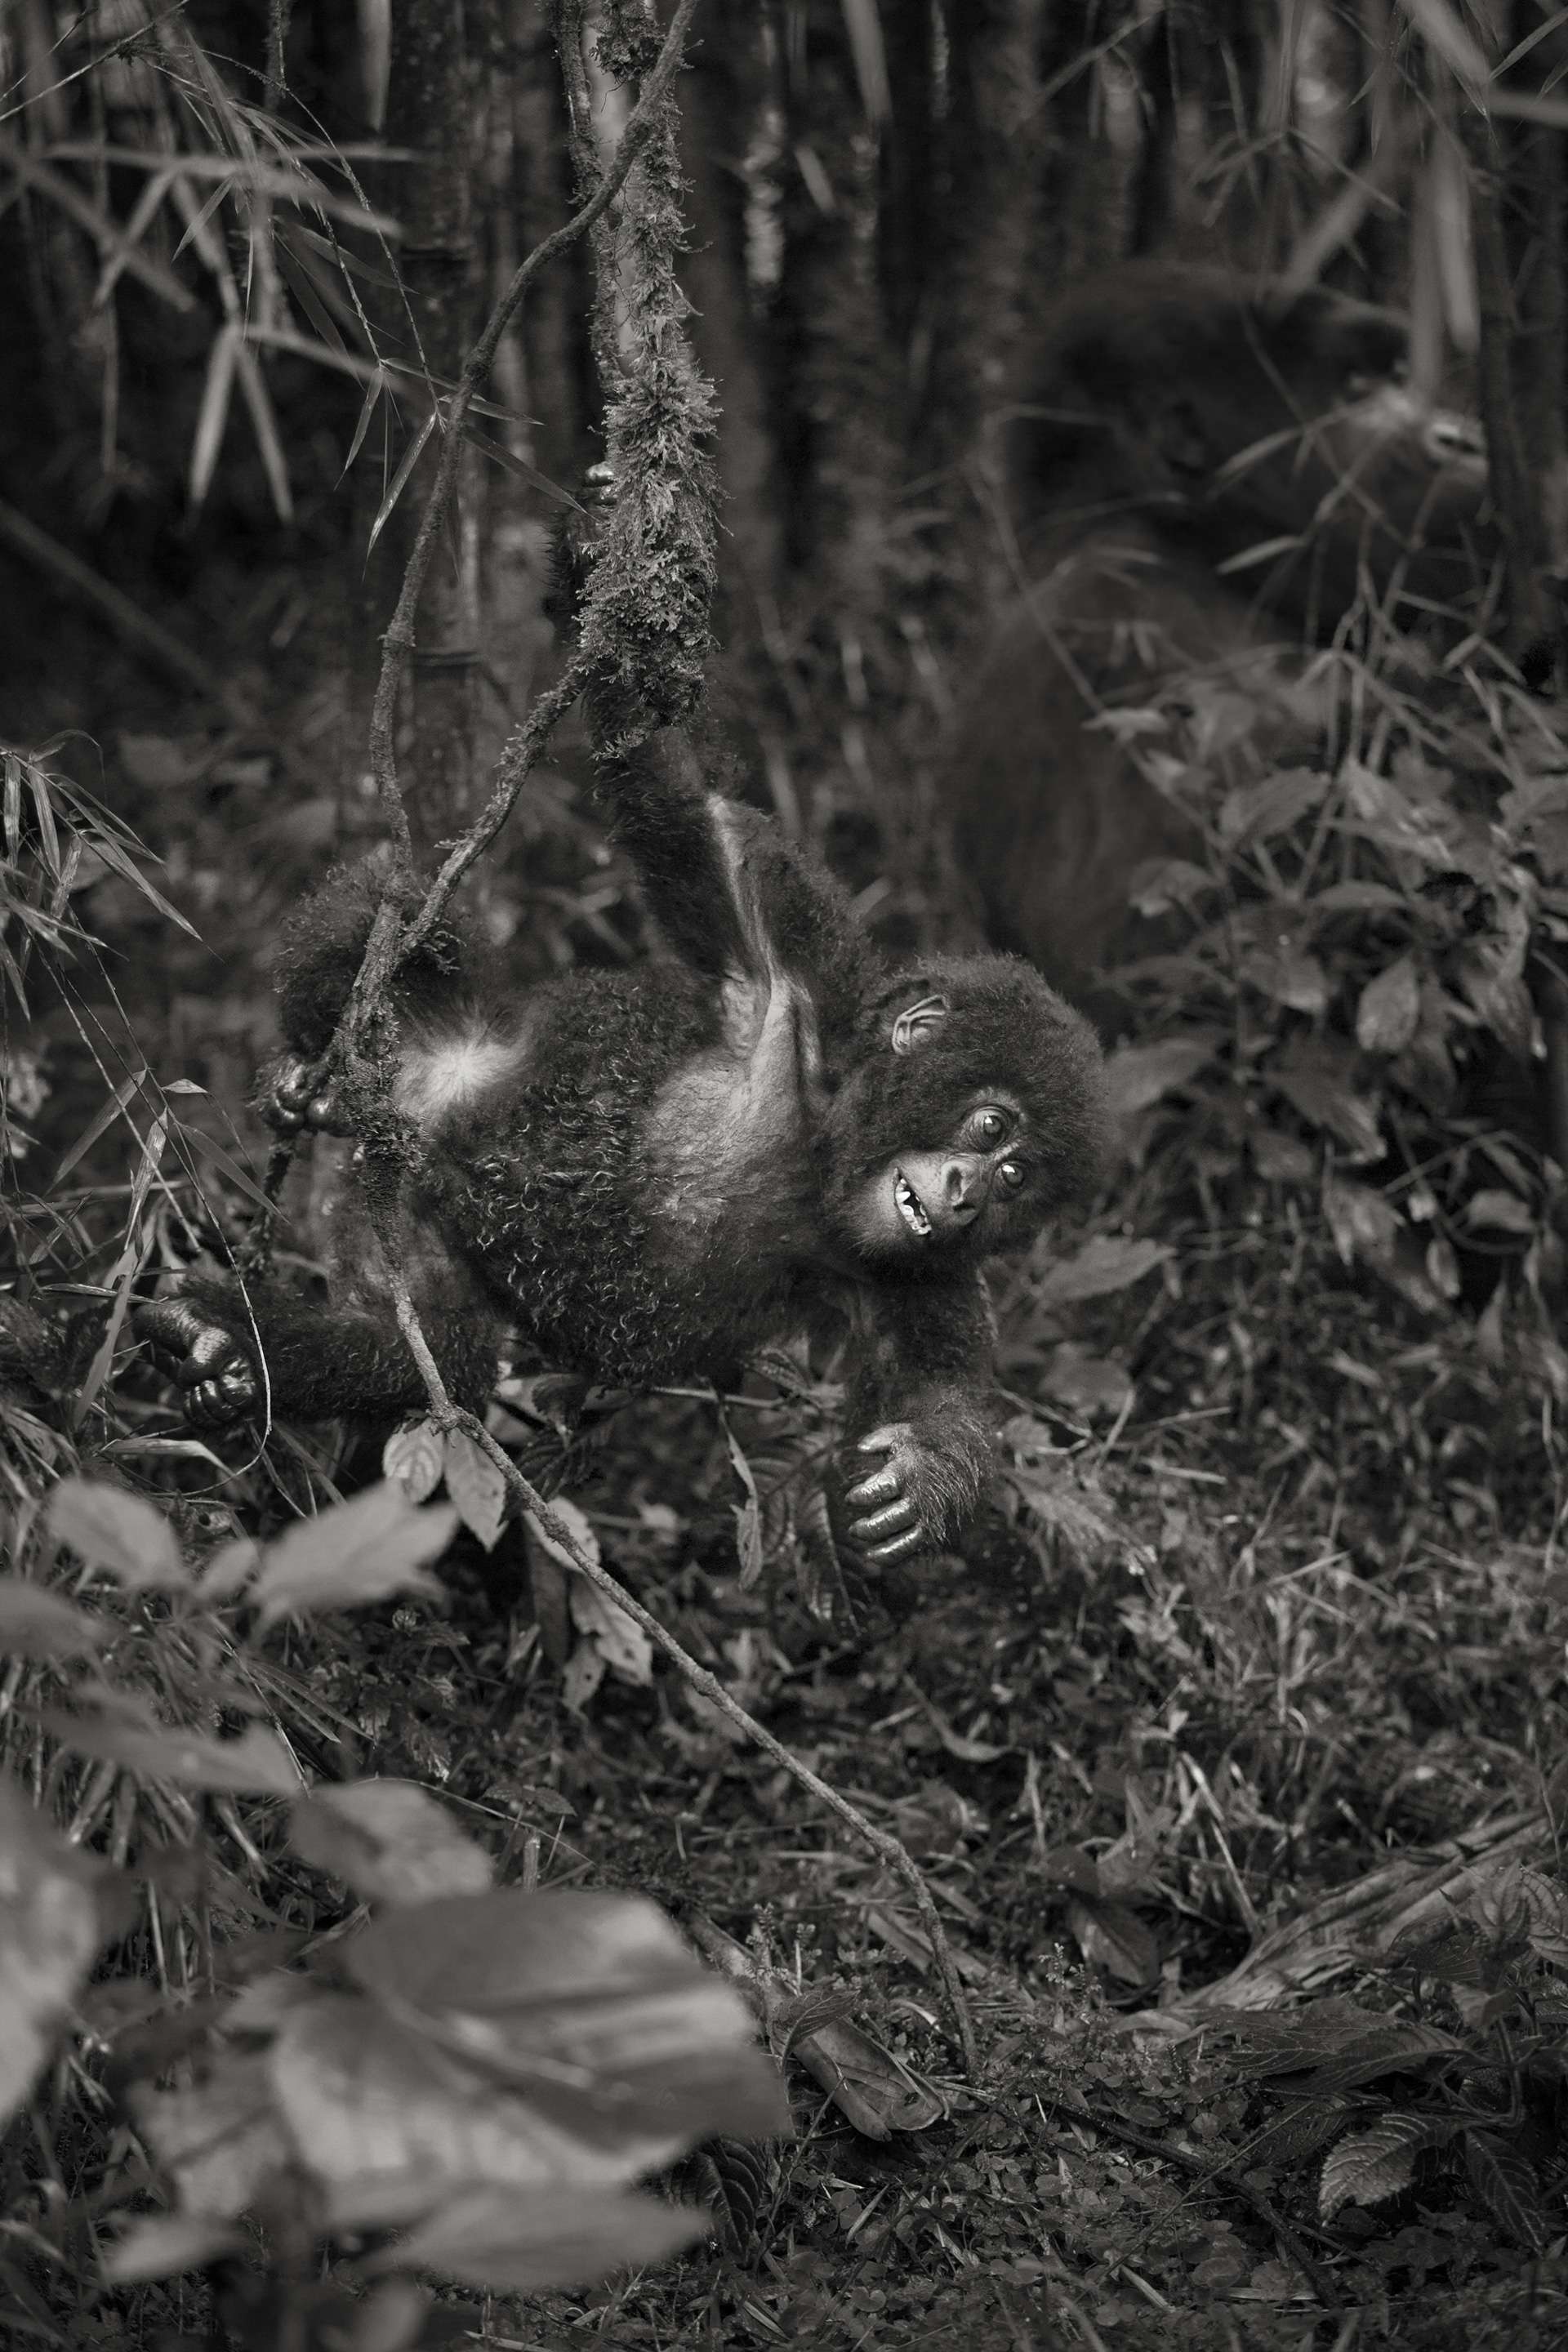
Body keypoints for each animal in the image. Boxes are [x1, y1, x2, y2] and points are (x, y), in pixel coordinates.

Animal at [144, 738, 1104, 1561]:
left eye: (1017, 1178)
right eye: (991, 1127)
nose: (968, 1191)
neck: (827, 1149)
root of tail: (410, 1105)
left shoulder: (922, 1275)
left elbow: (938, 1389)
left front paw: (922, 1474)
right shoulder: (809, 977)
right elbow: (687, 814)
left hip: (402, 1207)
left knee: (420, 1347)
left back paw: (227, 1345)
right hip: (431, 1060)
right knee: (395, 905)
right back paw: (310, 1080)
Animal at [945, 266, 1494, 1001]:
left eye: (1399, 375)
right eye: (1354, 390)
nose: (1460, 439)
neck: (1194, 550)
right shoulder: (1115, 630)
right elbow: (1154, 953)